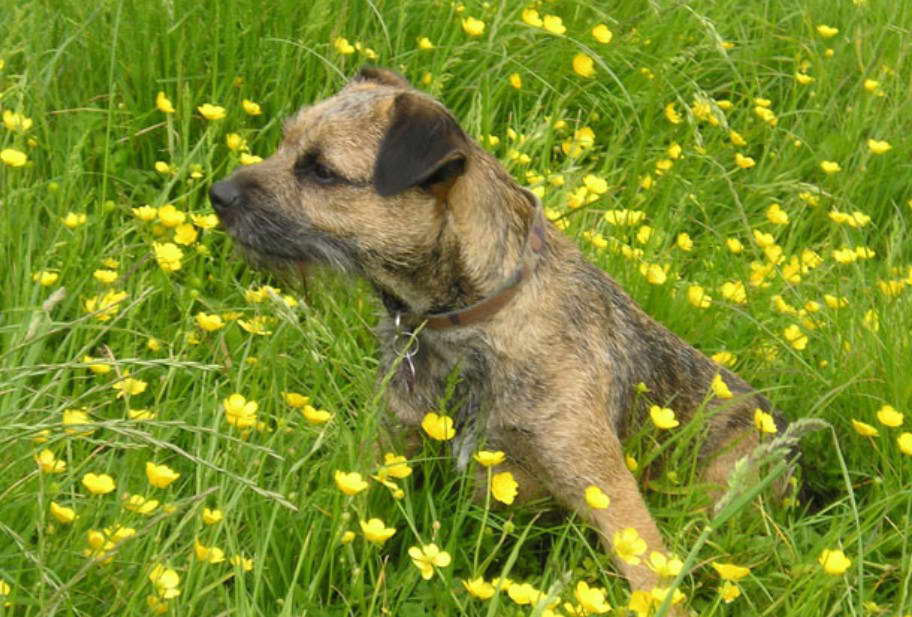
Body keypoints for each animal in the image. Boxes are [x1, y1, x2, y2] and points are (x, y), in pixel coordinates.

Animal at [210, 66, 788, 592]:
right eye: (285, 142)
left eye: (322, 172)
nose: (218, 193)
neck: (471, 321)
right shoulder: (393, 441)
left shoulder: (607, 489)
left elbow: (652, 580)